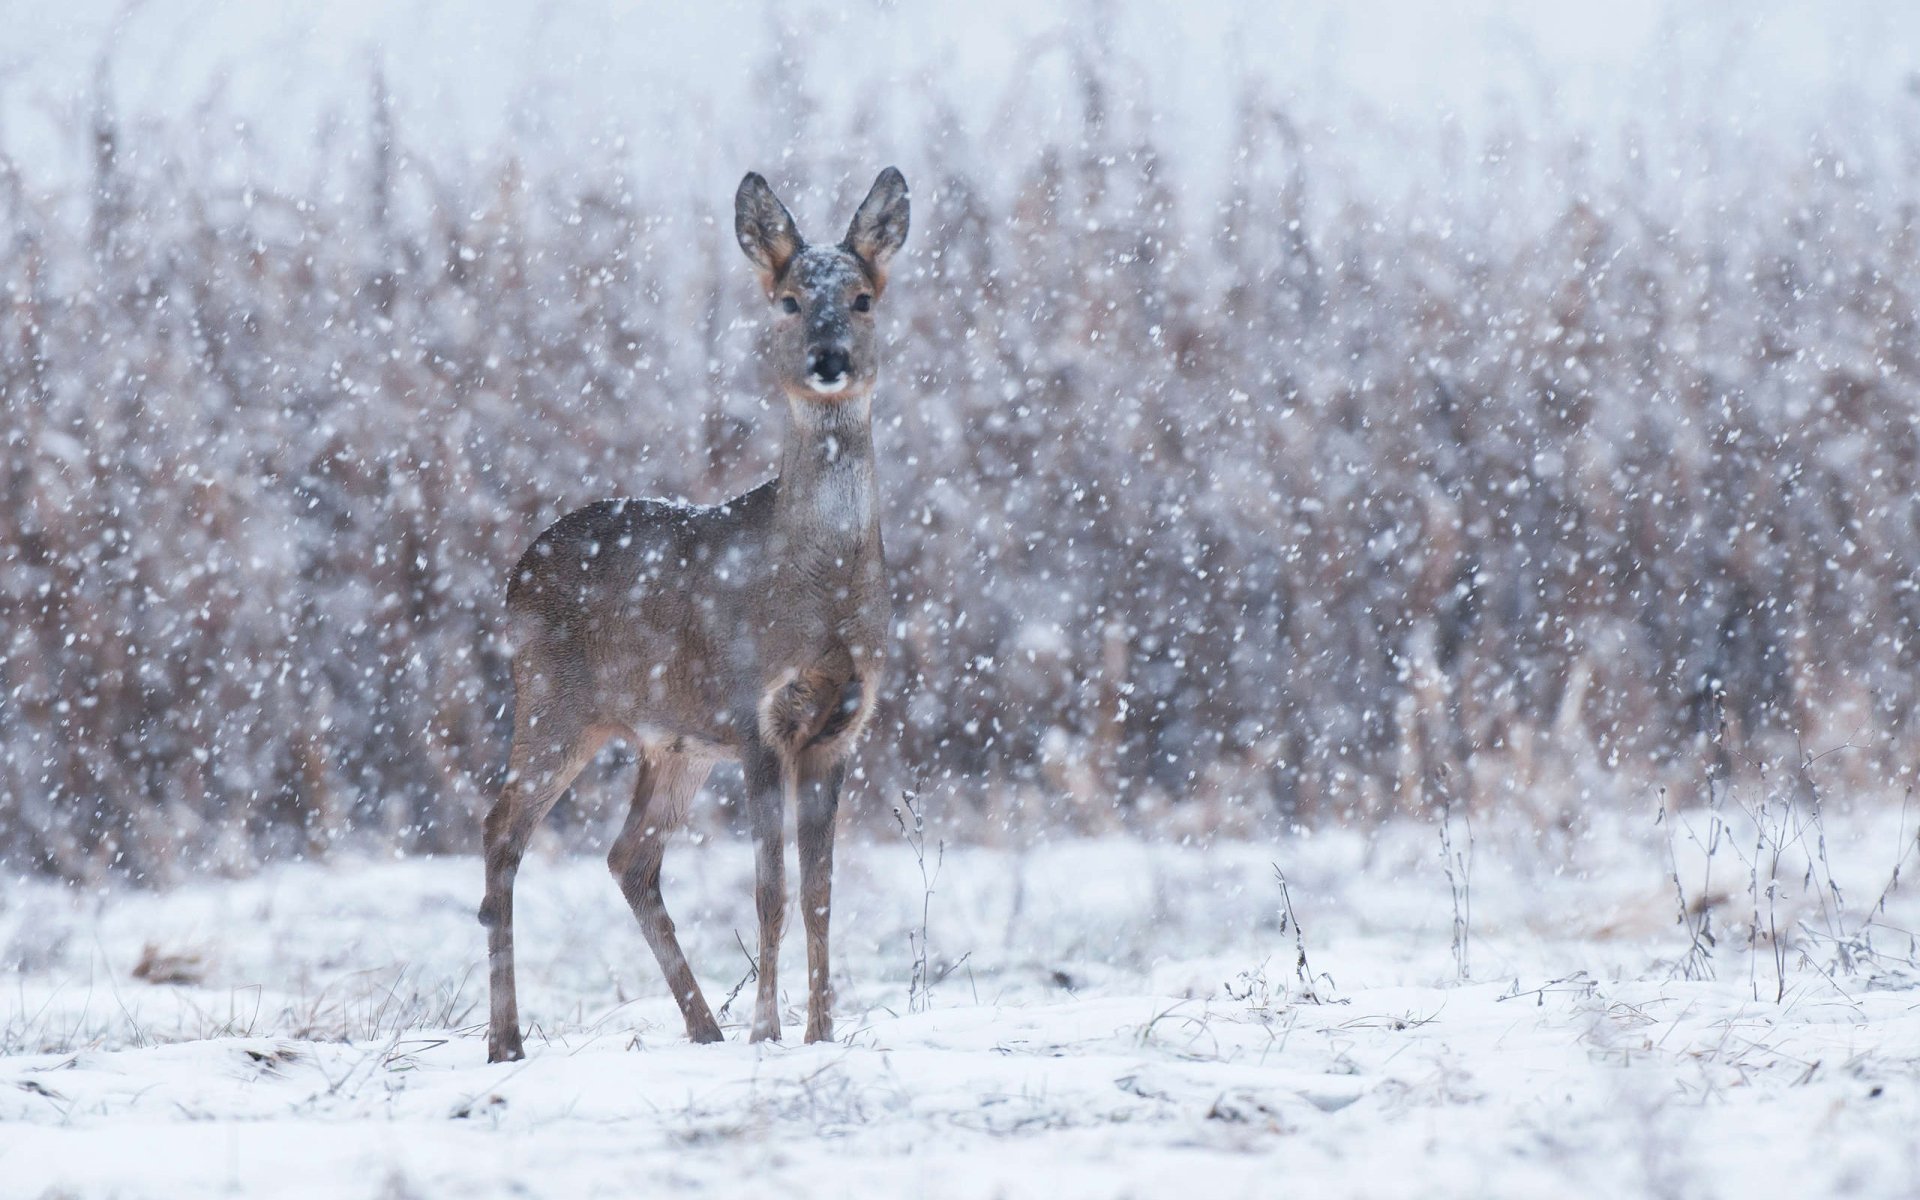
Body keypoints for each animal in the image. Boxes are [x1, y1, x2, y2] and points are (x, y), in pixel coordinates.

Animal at [476, 168, 902, 1059]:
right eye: (786, 300)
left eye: (862, 297)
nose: (829, 359)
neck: (824, 594)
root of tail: (518, 570)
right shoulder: (756, 715)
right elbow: (771, 890)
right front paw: (769, 1031)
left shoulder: (841, 728)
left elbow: (821, 893)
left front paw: (820, 1032)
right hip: (556, 700)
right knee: (503, 830)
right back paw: (506, 1041)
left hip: (670, 741)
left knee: (628, 856)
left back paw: (703, 1027)